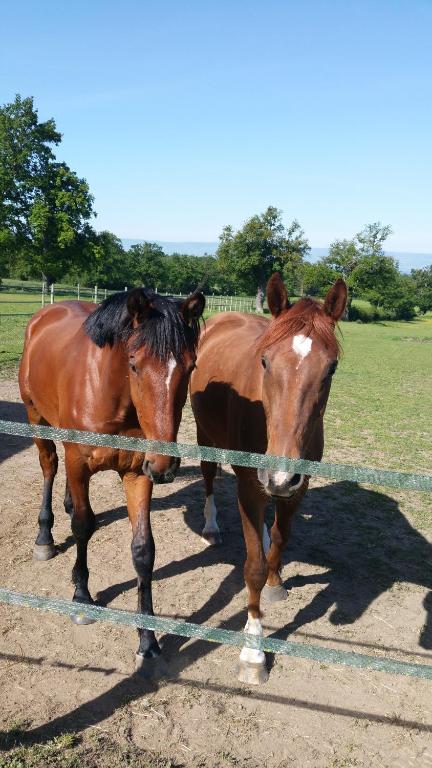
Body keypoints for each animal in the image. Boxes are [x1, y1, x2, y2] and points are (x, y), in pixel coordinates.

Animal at [18, 284, 204, 668]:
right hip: (35, 419)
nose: (166, 466)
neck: (111, 395)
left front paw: (147, 639)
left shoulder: (138, 473)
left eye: (191, 366)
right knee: (49, 467)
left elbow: (143, 550)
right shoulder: (78, 462)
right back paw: (44, 537)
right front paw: (81, 595)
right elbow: (82, 527)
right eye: (134, 364)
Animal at [191, 272, 346, 680]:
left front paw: (276, 581)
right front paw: (253, 651)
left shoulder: (297, 487)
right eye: (264, 360)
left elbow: (280, 536)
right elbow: (254, 568)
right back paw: (211, 526)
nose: (279, 474)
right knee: (209, 477)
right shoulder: (251, 487)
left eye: (331, 369)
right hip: (205, 436)